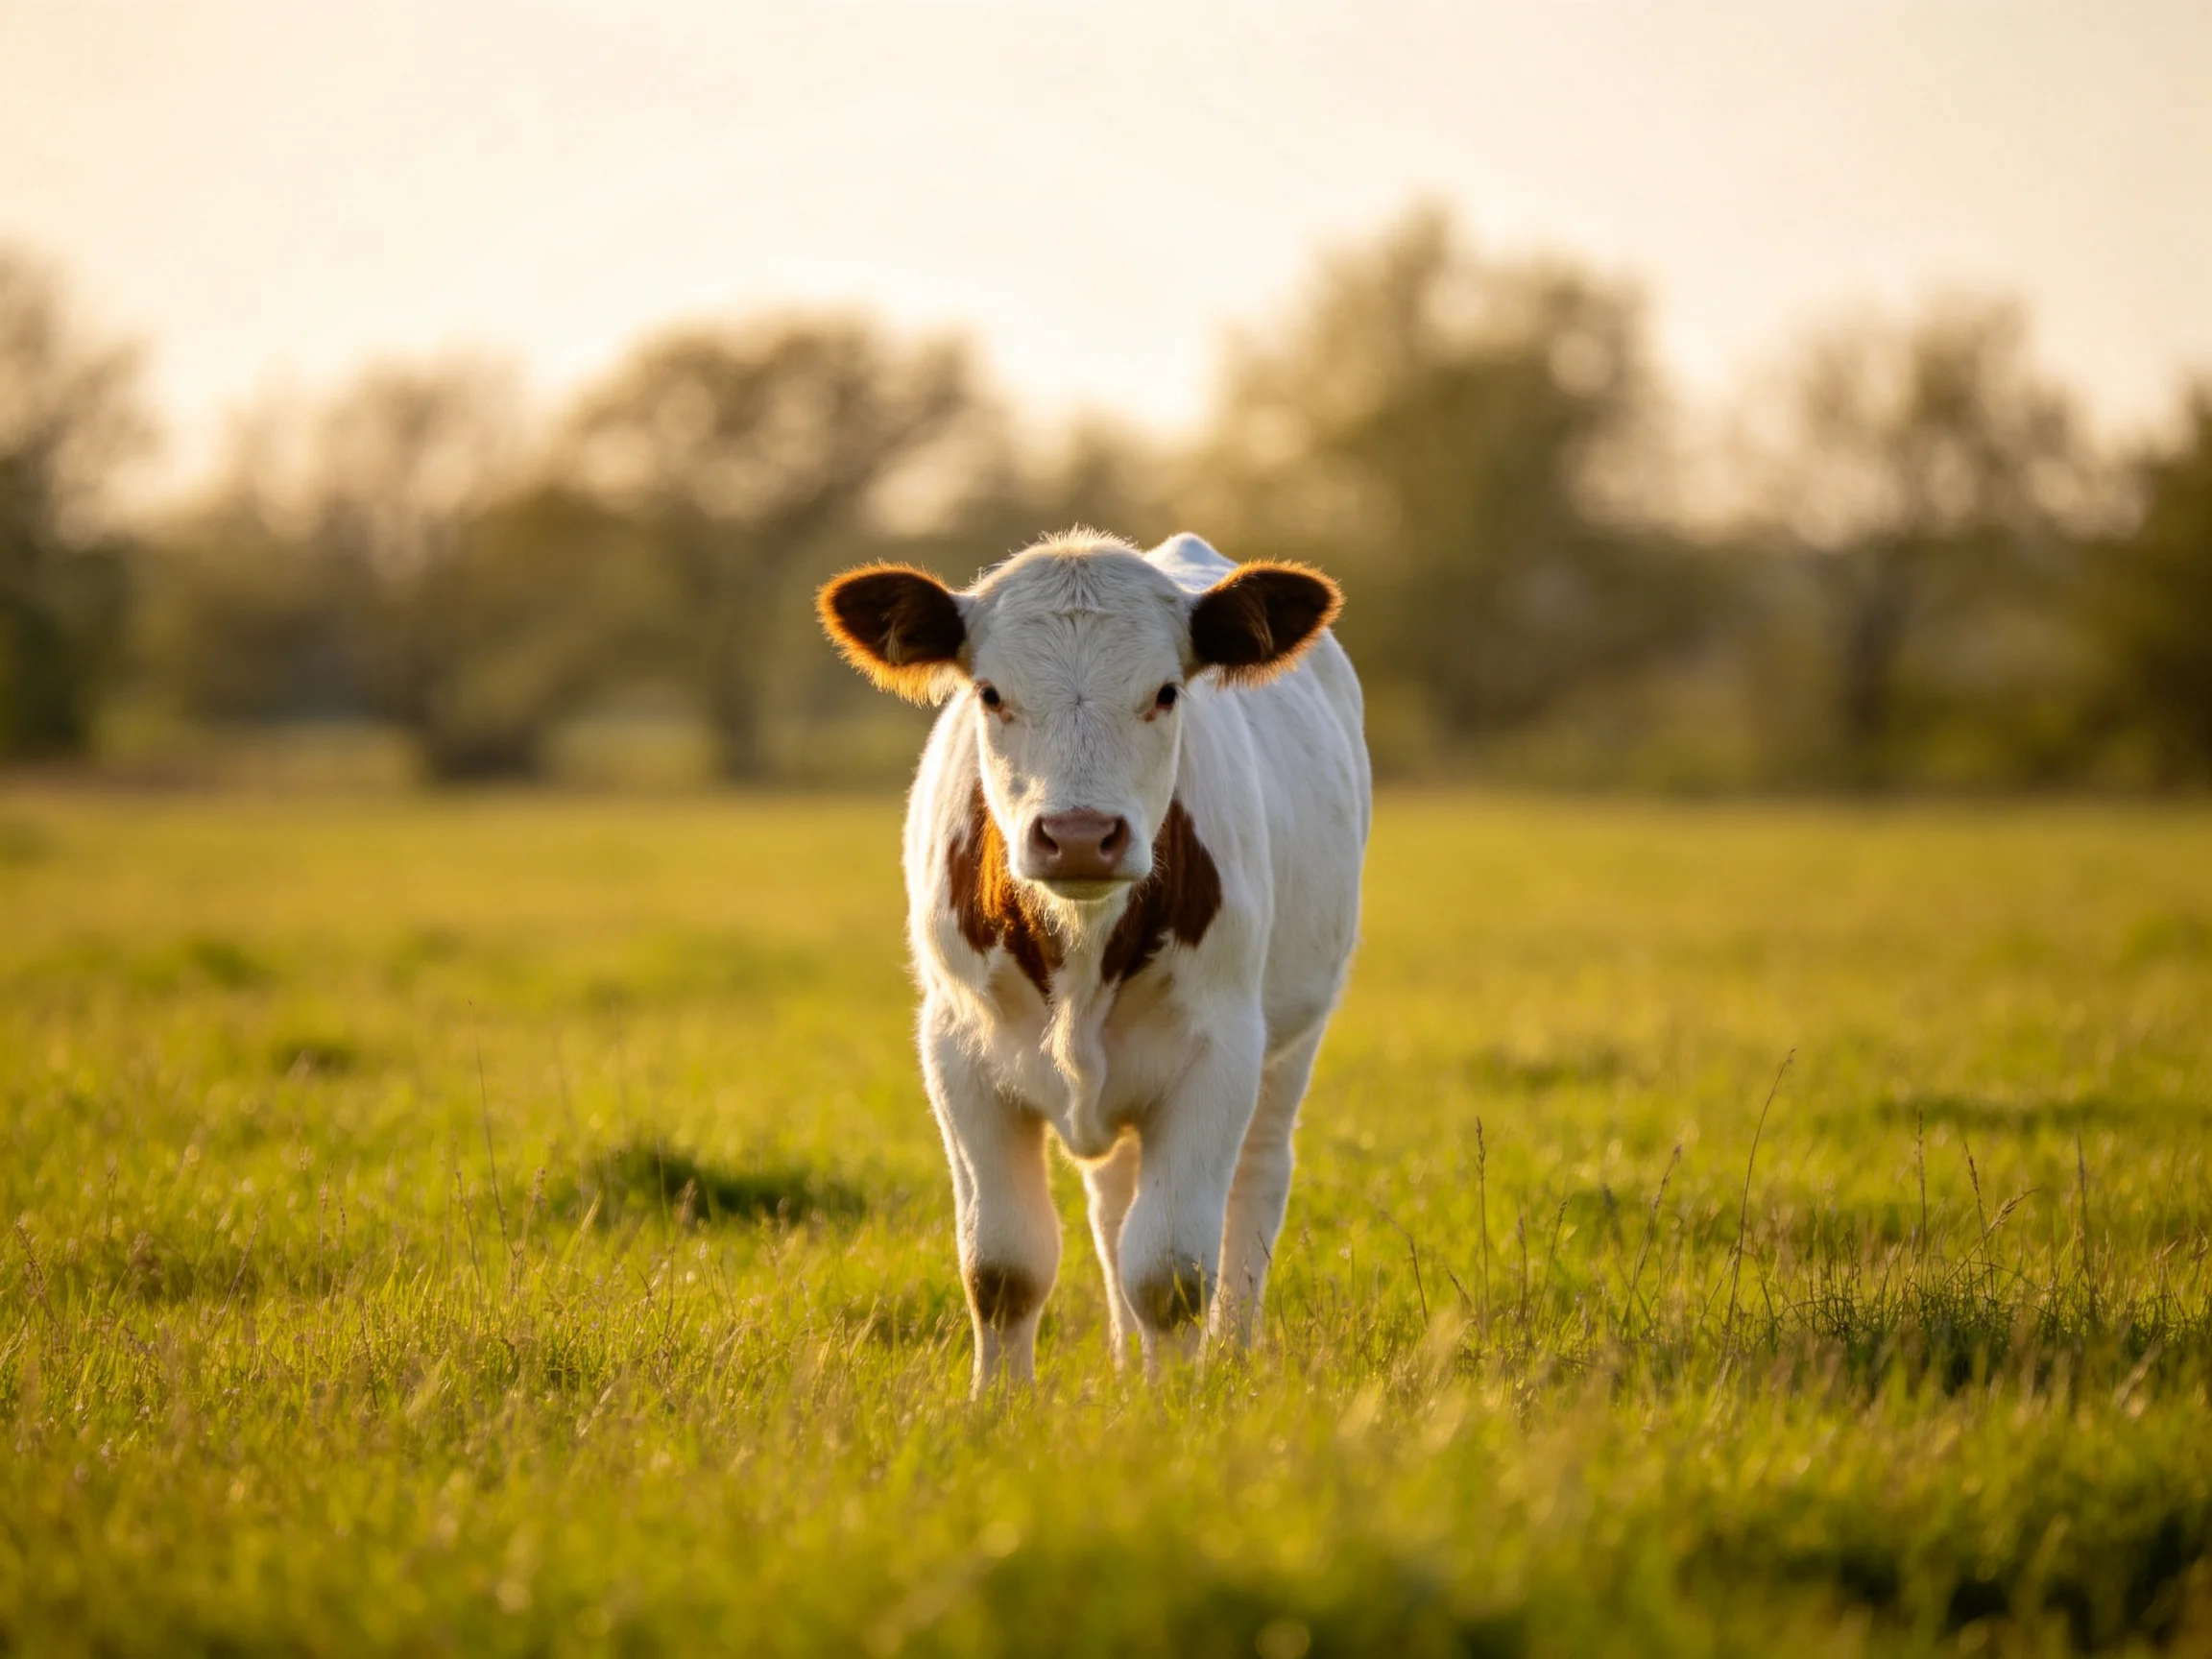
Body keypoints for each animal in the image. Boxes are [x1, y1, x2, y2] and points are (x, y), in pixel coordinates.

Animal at [816, 530, 1370, 1391]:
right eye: (990, 694)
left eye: (1167, 693)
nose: (1079, 835)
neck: (1080, 945)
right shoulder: (958, 1053)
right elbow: (1002, 1267)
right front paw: (1000, 1404)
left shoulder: (1217, 1056)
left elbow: (1171, 1270)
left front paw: (1176, 1403)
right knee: (1113, 1204)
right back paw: (1123, 1358)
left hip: (1289, 1044)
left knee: (1256, 1182)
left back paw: (1231, 1354)